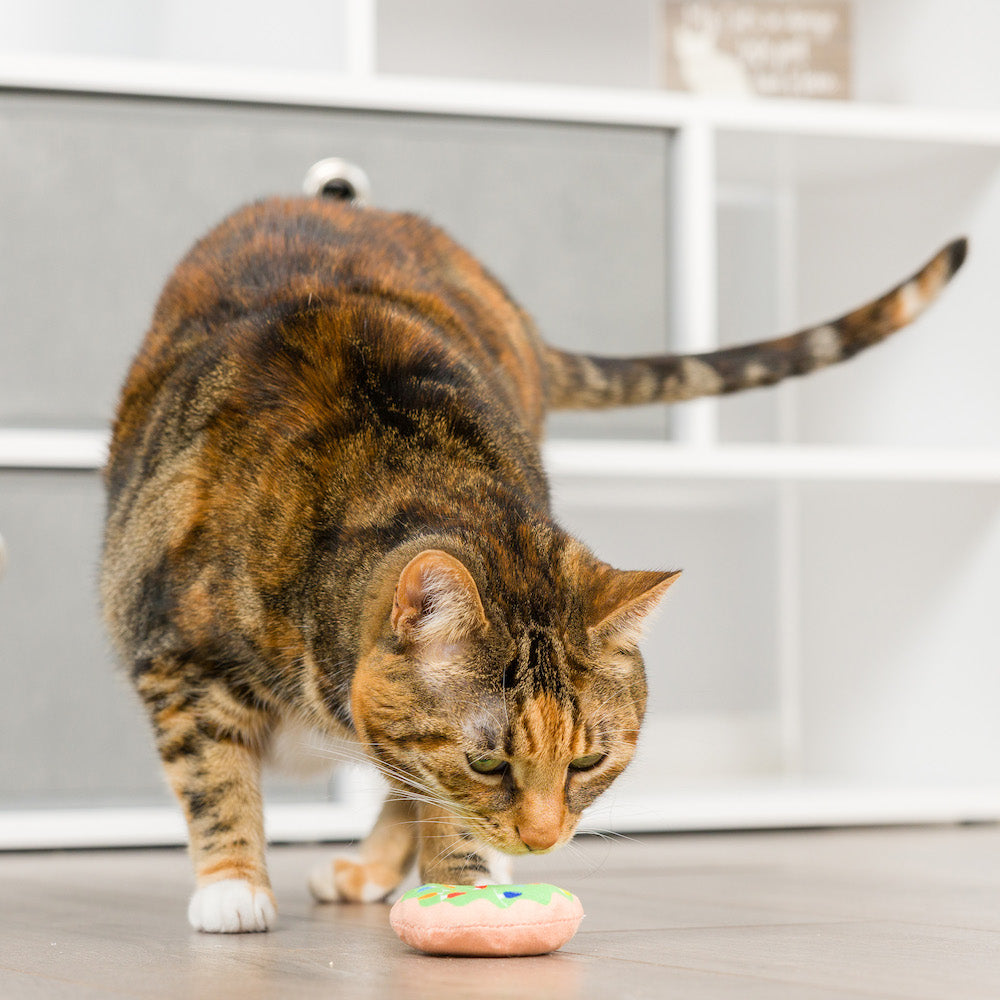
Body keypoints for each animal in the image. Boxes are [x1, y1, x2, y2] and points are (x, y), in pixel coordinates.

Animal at [99, 170, 960, 928]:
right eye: (488, 762)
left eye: (587, 763)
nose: (543, 839)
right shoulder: (176, 658)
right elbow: (215, 778)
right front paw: (233, 888)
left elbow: (430, 799)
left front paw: (466, 883)